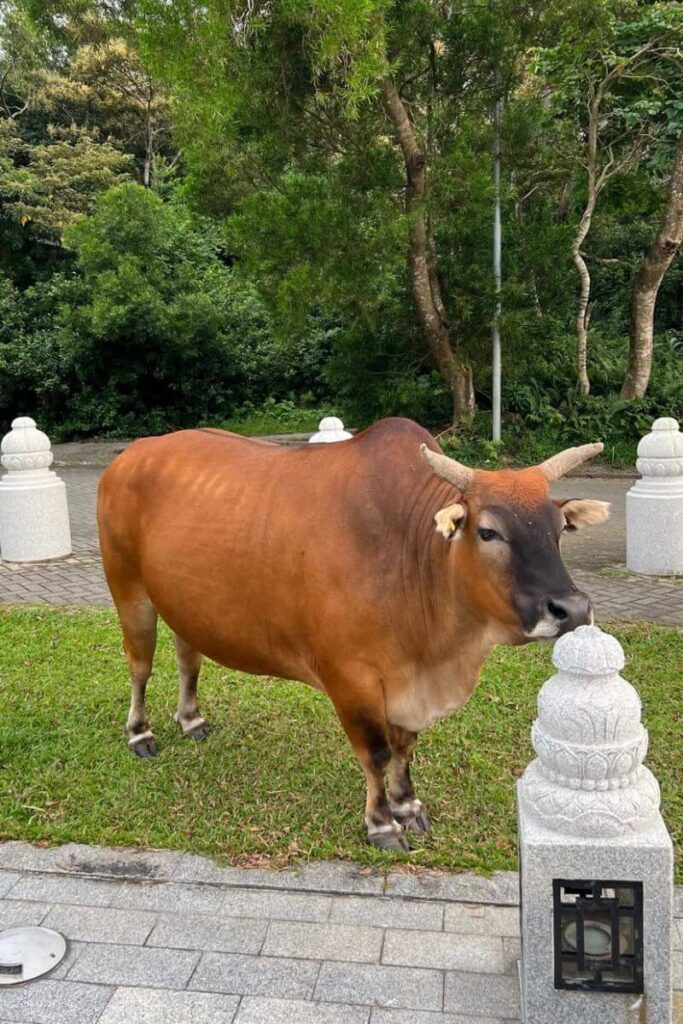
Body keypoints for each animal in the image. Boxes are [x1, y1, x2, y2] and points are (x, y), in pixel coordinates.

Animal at [97, 417, 609, 850]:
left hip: (184, 603)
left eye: (559, 528)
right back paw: (140, 733)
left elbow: (405, 747)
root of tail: (132, 453)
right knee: (139, 666)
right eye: (488, 532)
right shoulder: (351, 679)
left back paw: (191, 719)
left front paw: (408, 806)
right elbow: (377, 753)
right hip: (130, 590)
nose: (571, 609)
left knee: (188, 658)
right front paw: (382, 823)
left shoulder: (407, 681)